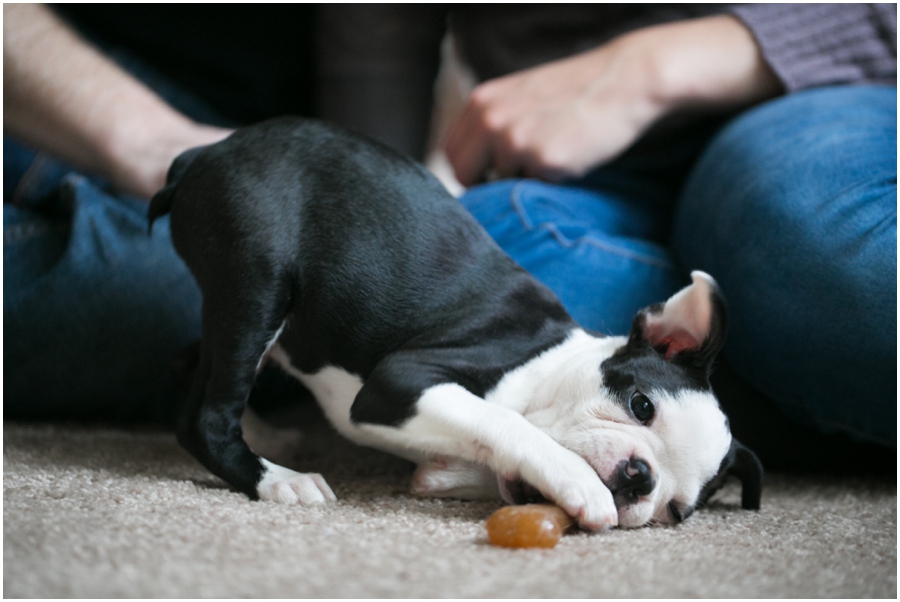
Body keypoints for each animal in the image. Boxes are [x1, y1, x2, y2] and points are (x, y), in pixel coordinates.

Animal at [148, 118, 760, 528]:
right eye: (641, 406)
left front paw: (454, 476)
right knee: (204, 417)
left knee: (194, 371)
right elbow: (502, 422)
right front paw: (575, 479)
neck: (547, 366)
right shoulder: (400, 382)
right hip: (259, 281)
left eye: (676, 511)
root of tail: (207, 152)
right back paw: (279, 480)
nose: (641, 476)